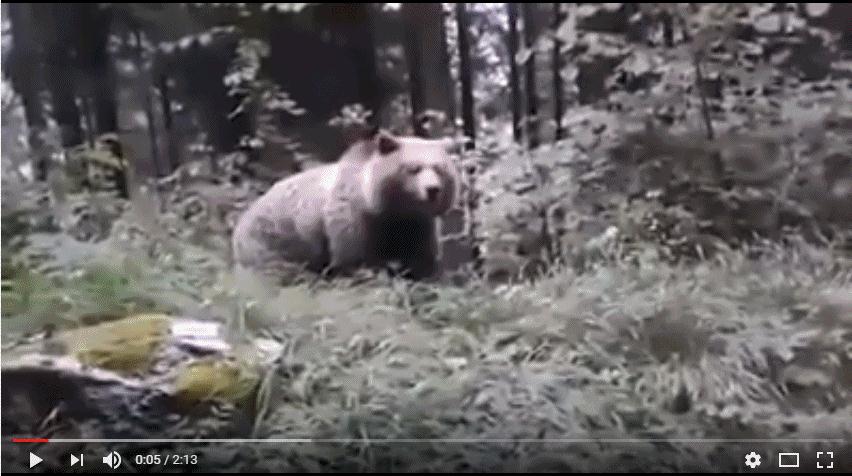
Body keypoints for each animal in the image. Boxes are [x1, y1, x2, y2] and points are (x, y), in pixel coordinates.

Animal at [231, 129, 459, 282]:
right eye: (414, 168)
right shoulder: (353, 220)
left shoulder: (419, 227)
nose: (432, 189)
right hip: (273, 239)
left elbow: (420, 266)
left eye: (439, 168)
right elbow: (354, 264)